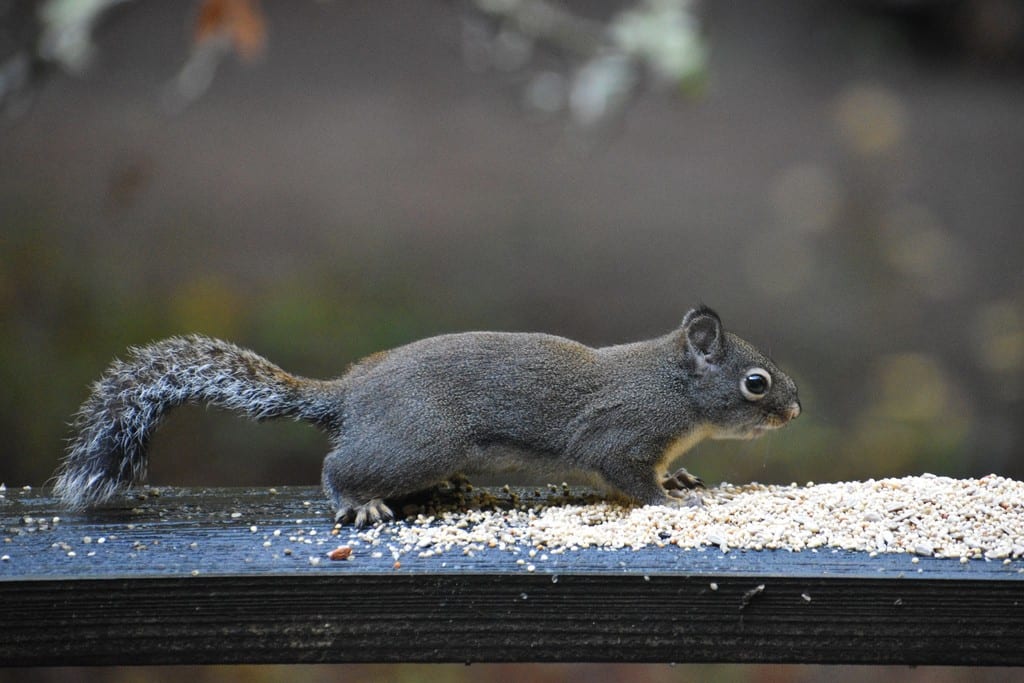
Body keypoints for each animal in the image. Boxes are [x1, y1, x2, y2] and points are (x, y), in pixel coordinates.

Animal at [54, 306, 801, 526]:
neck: (673, 388)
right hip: (420, 440)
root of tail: (350, 395)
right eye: (755, 382)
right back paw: (357, 501)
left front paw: (682, 480)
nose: (795, 408)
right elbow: (628, 476)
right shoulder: (620, 434)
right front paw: (668, 501)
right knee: (337, 465)